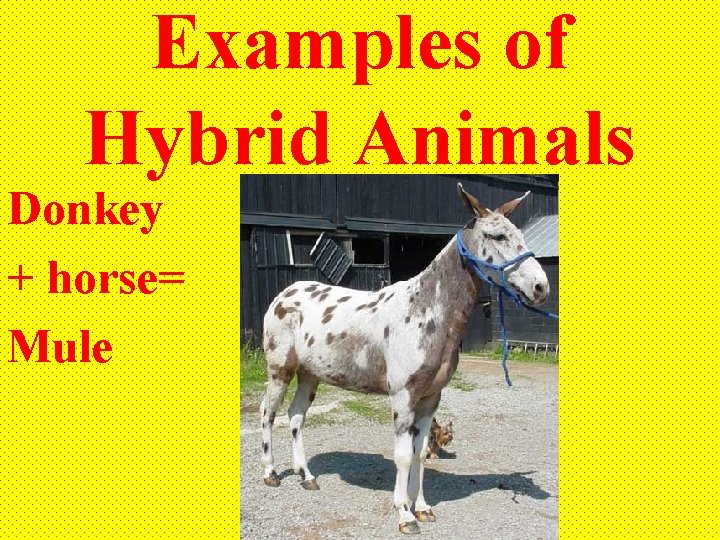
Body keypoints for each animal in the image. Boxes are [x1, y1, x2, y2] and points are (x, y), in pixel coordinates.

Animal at [259, 183, 550, 534]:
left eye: (519, 233)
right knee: (268, 412)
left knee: (296, 417)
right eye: (497, 236)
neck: (425, 311)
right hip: (279, 370)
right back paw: (271, 473)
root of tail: (283, 294)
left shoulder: (430, 398)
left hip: (309, 375)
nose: (541, 287)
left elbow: (421, 453)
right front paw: (405, 515)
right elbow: (402, 456)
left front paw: (422, 508)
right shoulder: (403, 396)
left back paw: (307, 477)